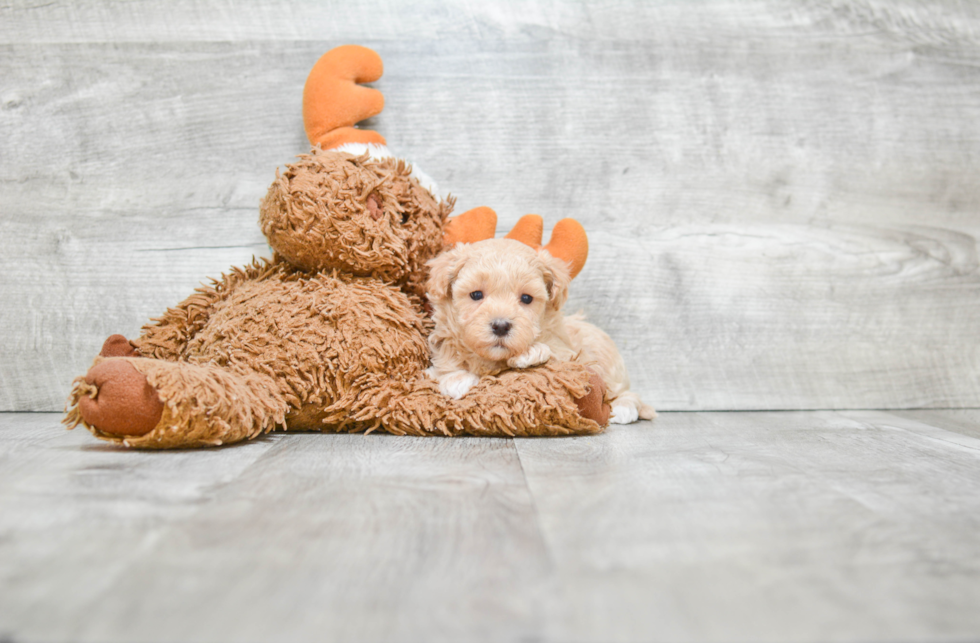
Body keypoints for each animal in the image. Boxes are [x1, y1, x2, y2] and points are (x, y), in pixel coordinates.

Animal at [424, 239, 656, 426]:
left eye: (526, 298)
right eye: (476, 295)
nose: (501, 326)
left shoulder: (570, 352)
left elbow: (558, 357)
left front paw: (530, 352)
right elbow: (445, 364)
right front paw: (456, 379)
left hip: (609, 364)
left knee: (625, 392)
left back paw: (624, 408)